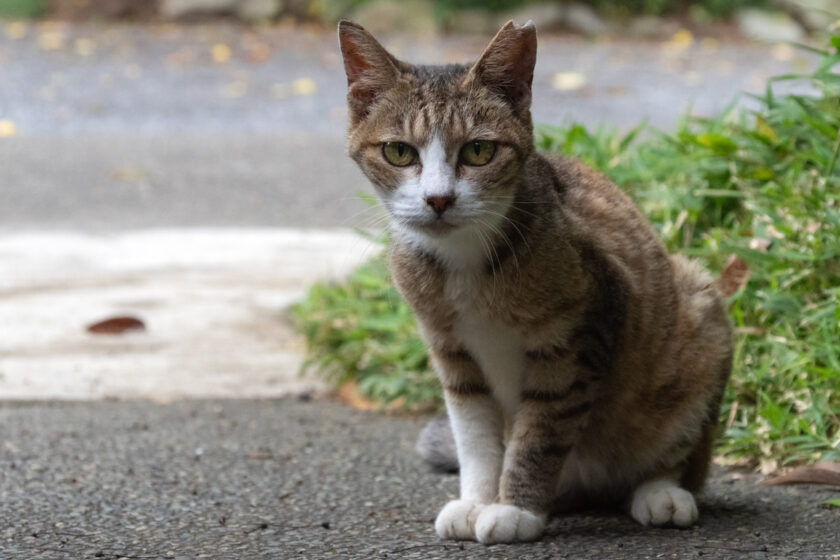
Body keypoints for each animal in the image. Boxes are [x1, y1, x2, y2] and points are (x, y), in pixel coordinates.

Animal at [338, 20, 732, 544]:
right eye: (399, 152)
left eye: (479, 150)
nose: (438, 199)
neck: (466, 264)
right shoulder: (452, 353)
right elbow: (475, 436)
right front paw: (479, 500)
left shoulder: (576, 342)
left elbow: (540, 434)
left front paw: (515, 509)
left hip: (699, 315)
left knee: (675, 454)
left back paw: (660, 492)